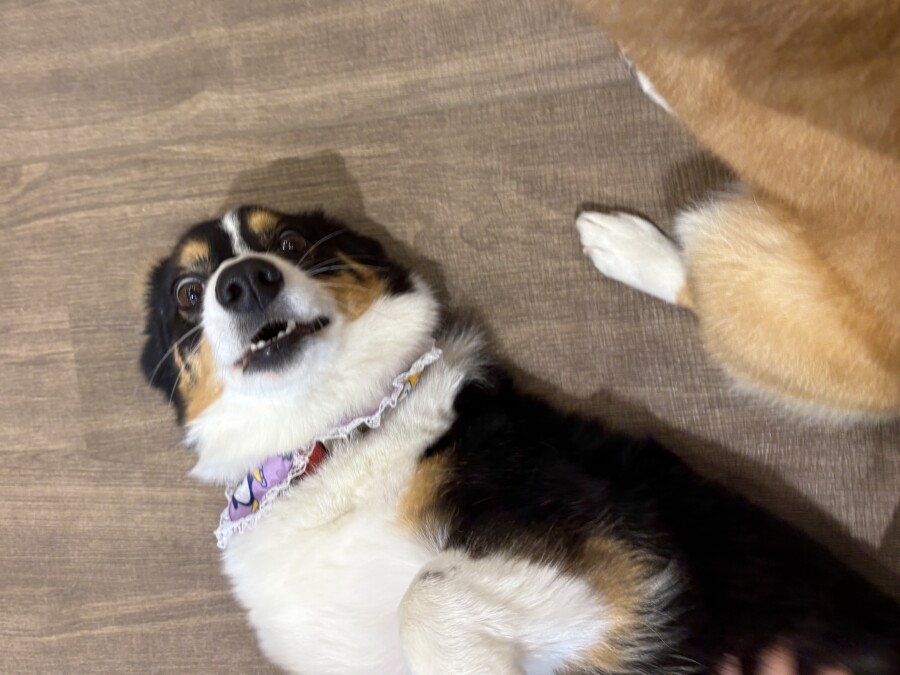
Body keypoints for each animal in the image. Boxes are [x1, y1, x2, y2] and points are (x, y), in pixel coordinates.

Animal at [141, 206, 898, 674]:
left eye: (291, 244)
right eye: (188, 291)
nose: (244, 281)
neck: (331, 442)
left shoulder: (616, 554)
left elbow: (424, 593)